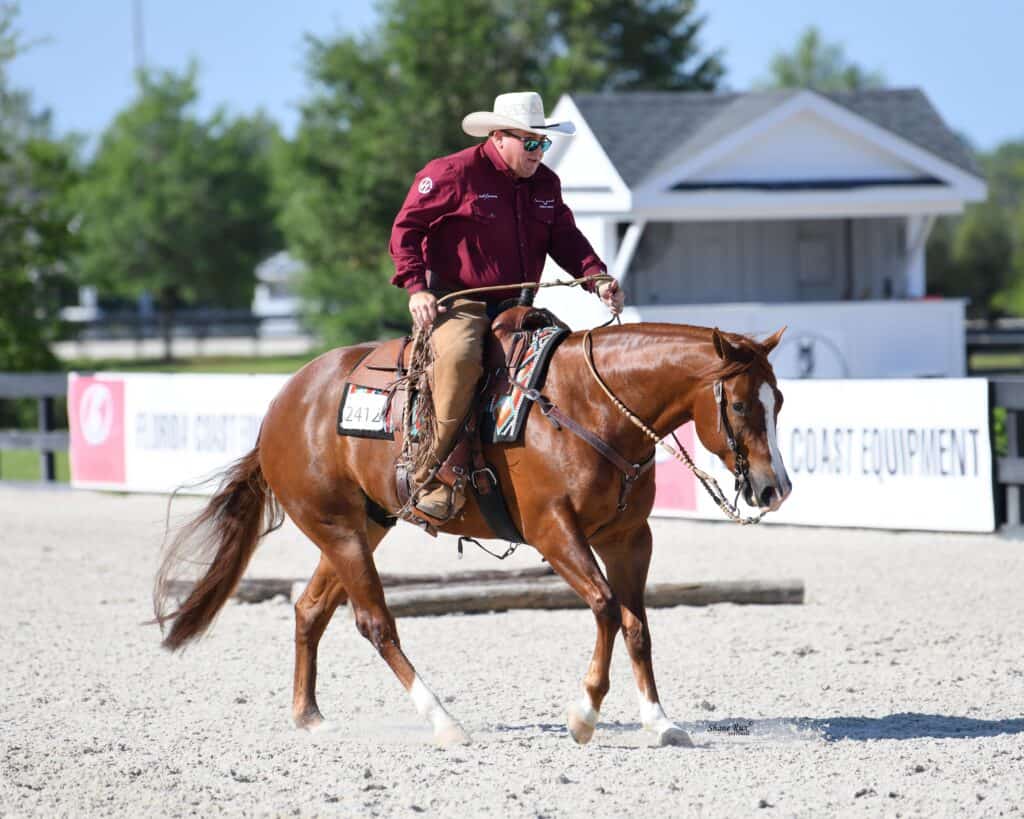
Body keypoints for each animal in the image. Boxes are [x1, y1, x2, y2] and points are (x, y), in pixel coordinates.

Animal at [153, 321, 791, 748]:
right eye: (739, 404)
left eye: (779, 399)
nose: (774, 488)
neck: (590, 408)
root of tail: (283, 403)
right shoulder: (555, 531)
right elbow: (608, 608)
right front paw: (583, 714)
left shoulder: (630, 538)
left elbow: (638, 626)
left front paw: (659, 721)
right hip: (338, 531)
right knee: (374, 623)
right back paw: (443, 721)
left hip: (363, 526)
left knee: (310, 609)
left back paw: (309, 715)